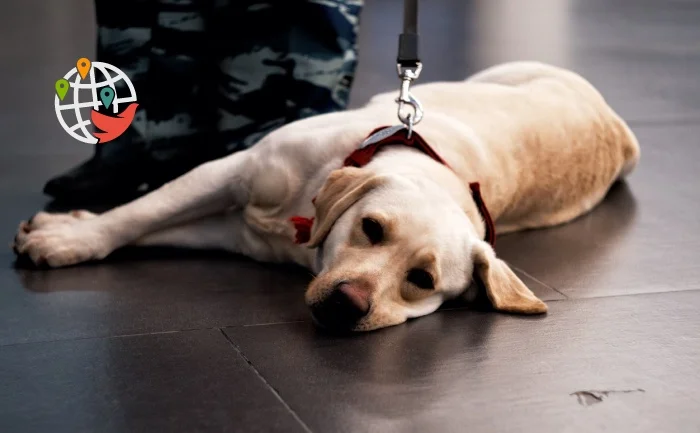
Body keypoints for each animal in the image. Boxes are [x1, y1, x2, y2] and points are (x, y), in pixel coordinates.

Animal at [13, 60, 644, 330]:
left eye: (422, 281)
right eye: (372, 228)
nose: (348, 305)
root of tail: (620, 124)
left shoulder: (234, 230)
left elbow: (155, 227)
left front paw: (65, 233)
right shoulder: (231, 173)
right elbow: (139, 214)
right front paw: (69, 237)